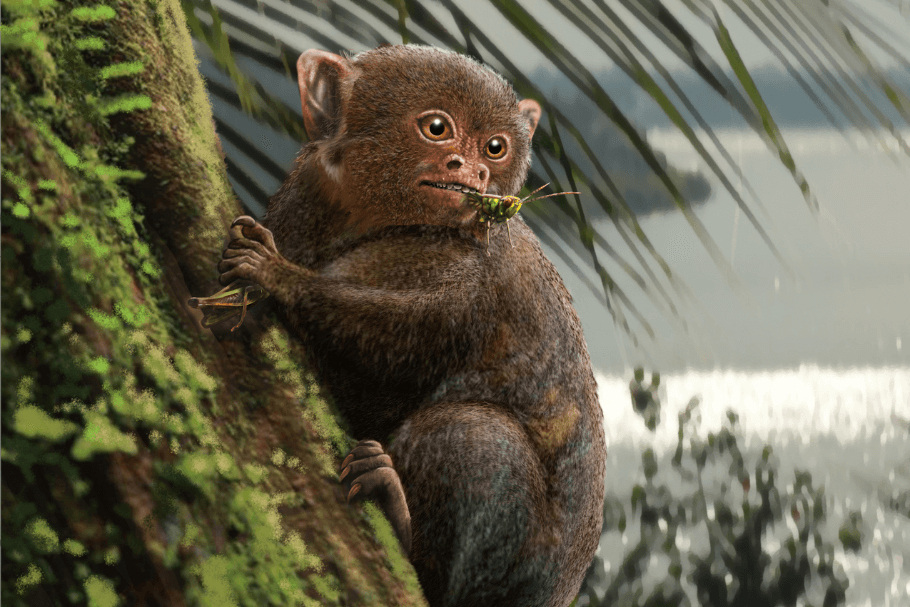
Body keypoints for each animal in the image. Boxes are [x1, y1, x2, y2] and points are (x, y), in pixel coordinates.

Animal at [216, 45, 606, 607]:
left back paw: (399, 519)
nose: (471, 170)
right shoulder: (304, 195)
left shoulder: (461, 273)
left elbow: (391, 342)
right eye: (437, 129)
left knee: (470, 433)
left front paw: (276, 275)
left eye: (495, 148)